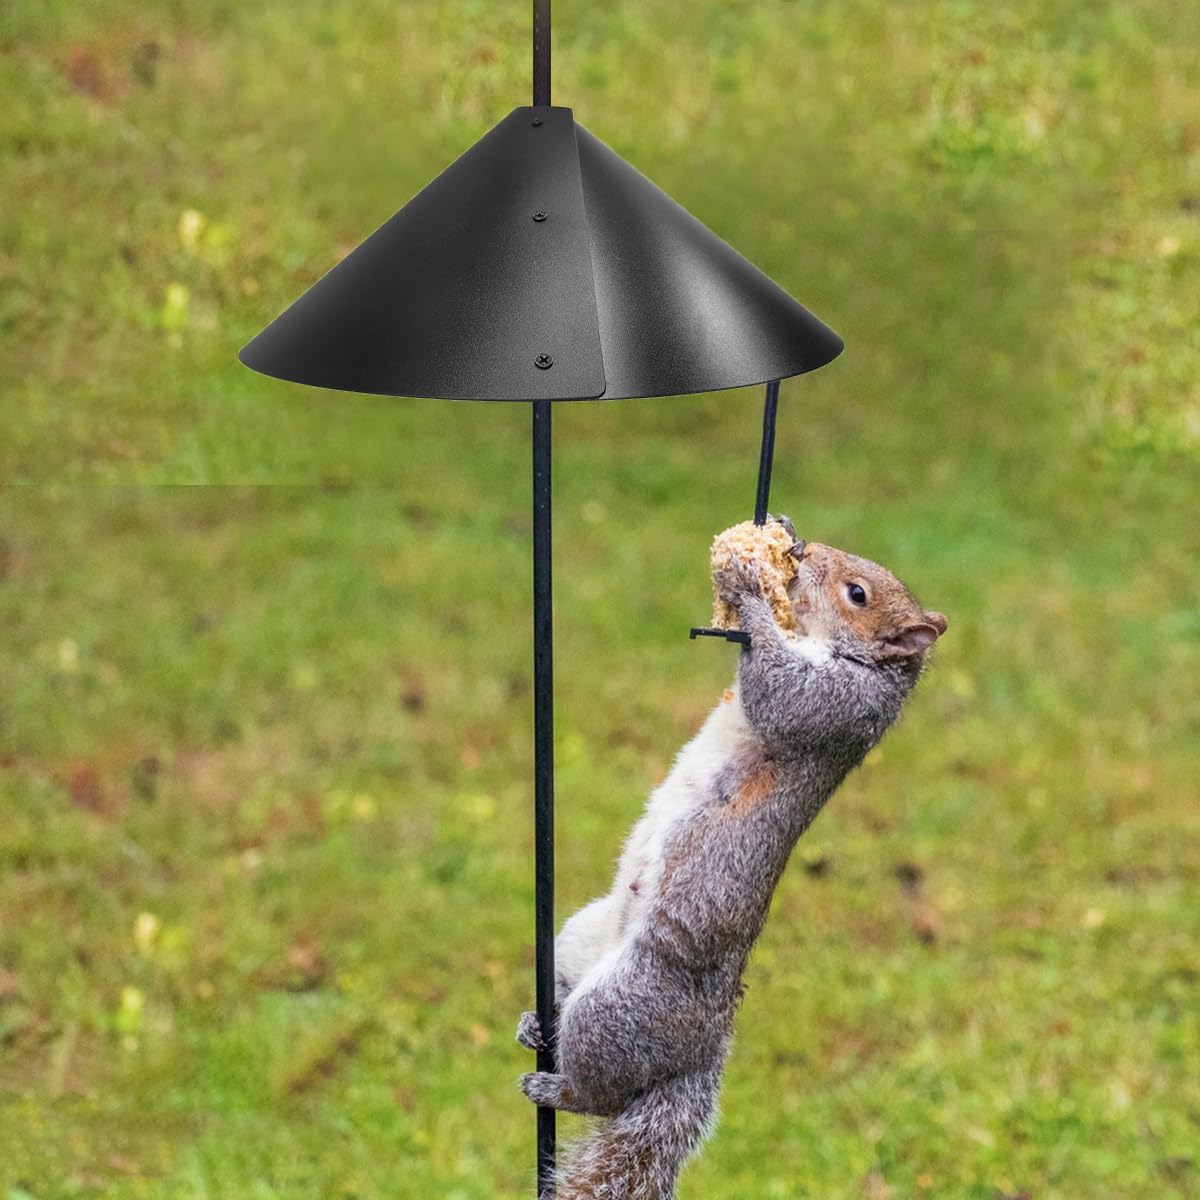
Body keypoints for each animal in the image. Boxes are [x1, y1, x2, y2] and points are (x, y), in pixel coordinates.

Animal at [517, 519, 948, 1200]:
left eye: (856, 594)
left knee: (605, 1092)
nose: (805, 551)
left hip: (623, 1003)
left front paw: (748, 585)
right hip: (578, 940)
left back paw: (556, 1086)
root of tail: (703, 1048)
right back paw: (536, 1025)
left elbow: (781, 690)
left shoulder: (837, 705)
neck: (859, 661)